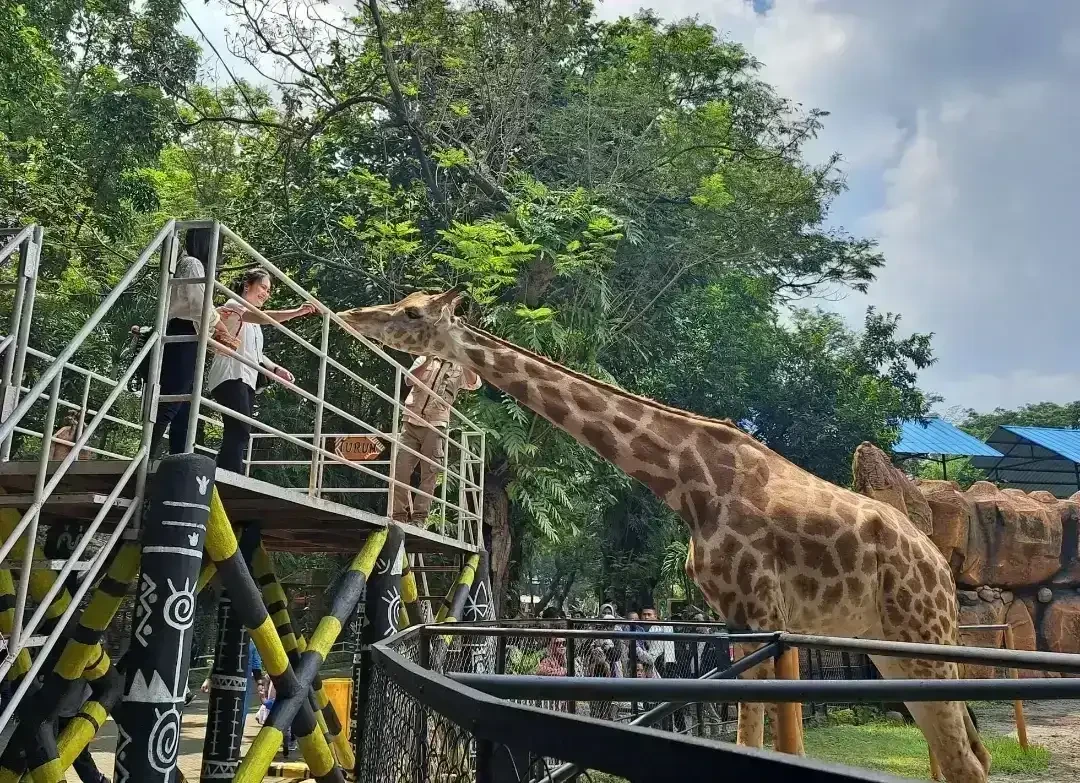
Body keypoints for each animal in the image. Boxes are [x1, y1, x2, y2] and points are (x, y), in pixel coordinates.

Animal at [341, 289, 989, 781]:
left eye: (414, 312)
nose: (353, 316)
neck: (690, 486)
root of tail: (939, 566)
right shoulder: (743, 620)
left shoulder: (763, 613)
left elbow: (764, 740)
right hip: (884, 644)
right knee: (962, 755)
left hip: (922, 633)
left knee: (966, 760)